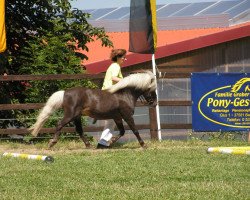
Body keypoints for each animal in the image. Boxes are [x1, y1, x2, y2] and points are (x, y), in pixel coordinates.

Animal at [28, 70, 156, 147]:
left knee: (79, 130)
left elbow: (122, 132)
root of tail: (65, 92)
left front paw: (110, 142)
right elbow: (135, 130)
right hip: (70, 115)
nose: (154, 103)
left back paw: (88, 145)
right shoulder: (127, 116)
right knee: (59, 124)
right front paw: (143, 145)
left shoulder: (117, 117)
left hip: (77, 116)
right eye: (152, 89)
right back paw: (52, 143)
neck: (124, 95)